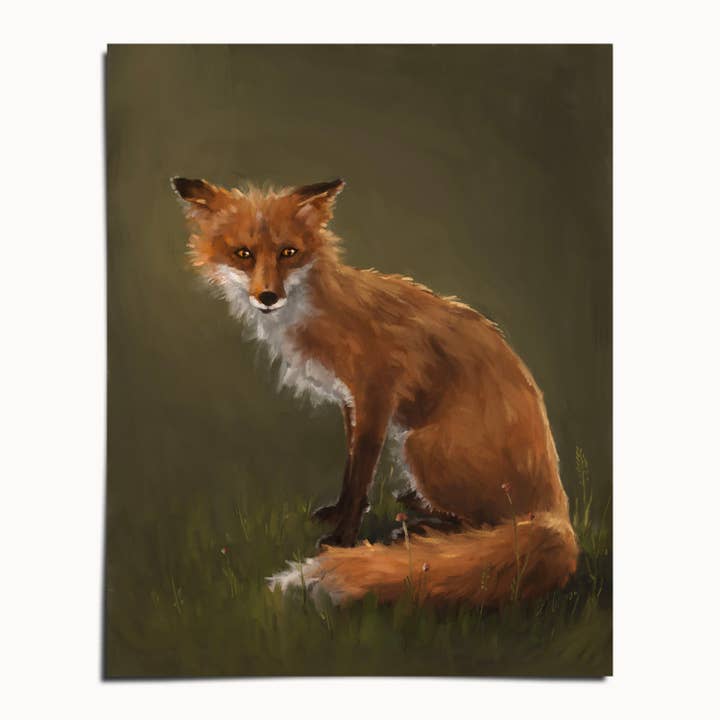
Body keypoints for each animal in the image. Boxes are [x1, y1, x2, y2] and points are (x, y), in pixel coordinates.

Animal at [171, 175, 578, 607]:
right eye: (243, 254)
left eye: (288, 253)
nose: (268, 297)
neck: (317, 310)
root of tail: (557, 508)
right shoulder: (350, 401)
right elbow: (351, 471)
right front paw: (338, 514)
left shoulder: (376, 394)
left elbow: (360, 475)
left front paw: (341, 538)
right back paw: (418, 508)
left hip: (418, 446)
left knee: (491, 525)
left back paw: (422, 529)